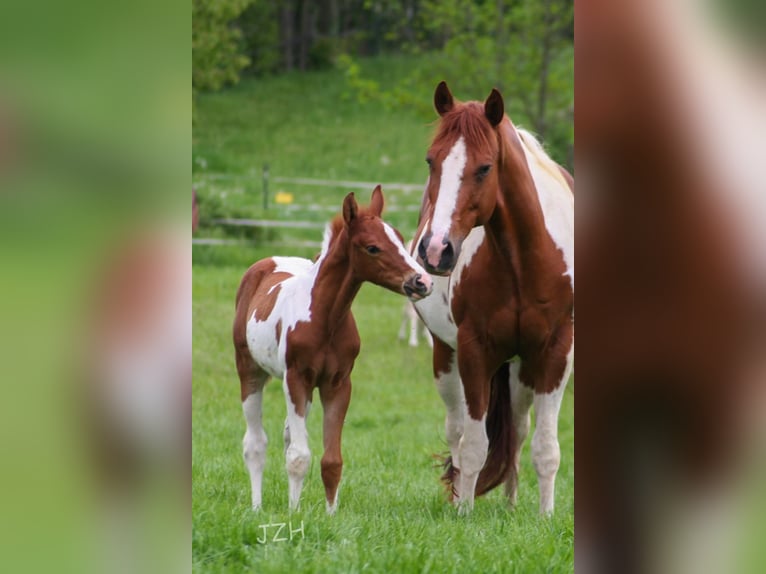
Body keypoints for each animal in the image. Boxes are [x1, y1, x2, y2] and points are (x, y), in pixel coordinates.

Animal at [231, 187, 436, 516]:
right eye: (372, 248)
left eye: (400, 238)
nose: (422, 281)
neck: (326, 318)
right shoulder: (296, 379)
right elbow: (299, 456)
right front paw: (294, 515)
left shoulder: (337, 383)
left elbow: (331, 460)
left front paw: (329, 515)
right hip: (250, 370)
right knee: (255, 443)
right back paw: (257, 507)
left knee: (287, 435)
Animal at [414, 82, 576, 516]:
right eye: (431, 161)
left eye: (485, 168)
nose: (435, 250)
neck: (522, 260)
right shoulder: (474, 350)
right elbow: (473, 446)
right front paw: (464, 514)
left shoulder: (556, 352)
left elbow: (545, 448)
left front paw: (545, 516)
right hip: (446, 357)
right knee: (456, 432)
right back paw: (460, 497)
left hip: (521, 366)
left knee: (518, 431)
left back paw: (512, 502)